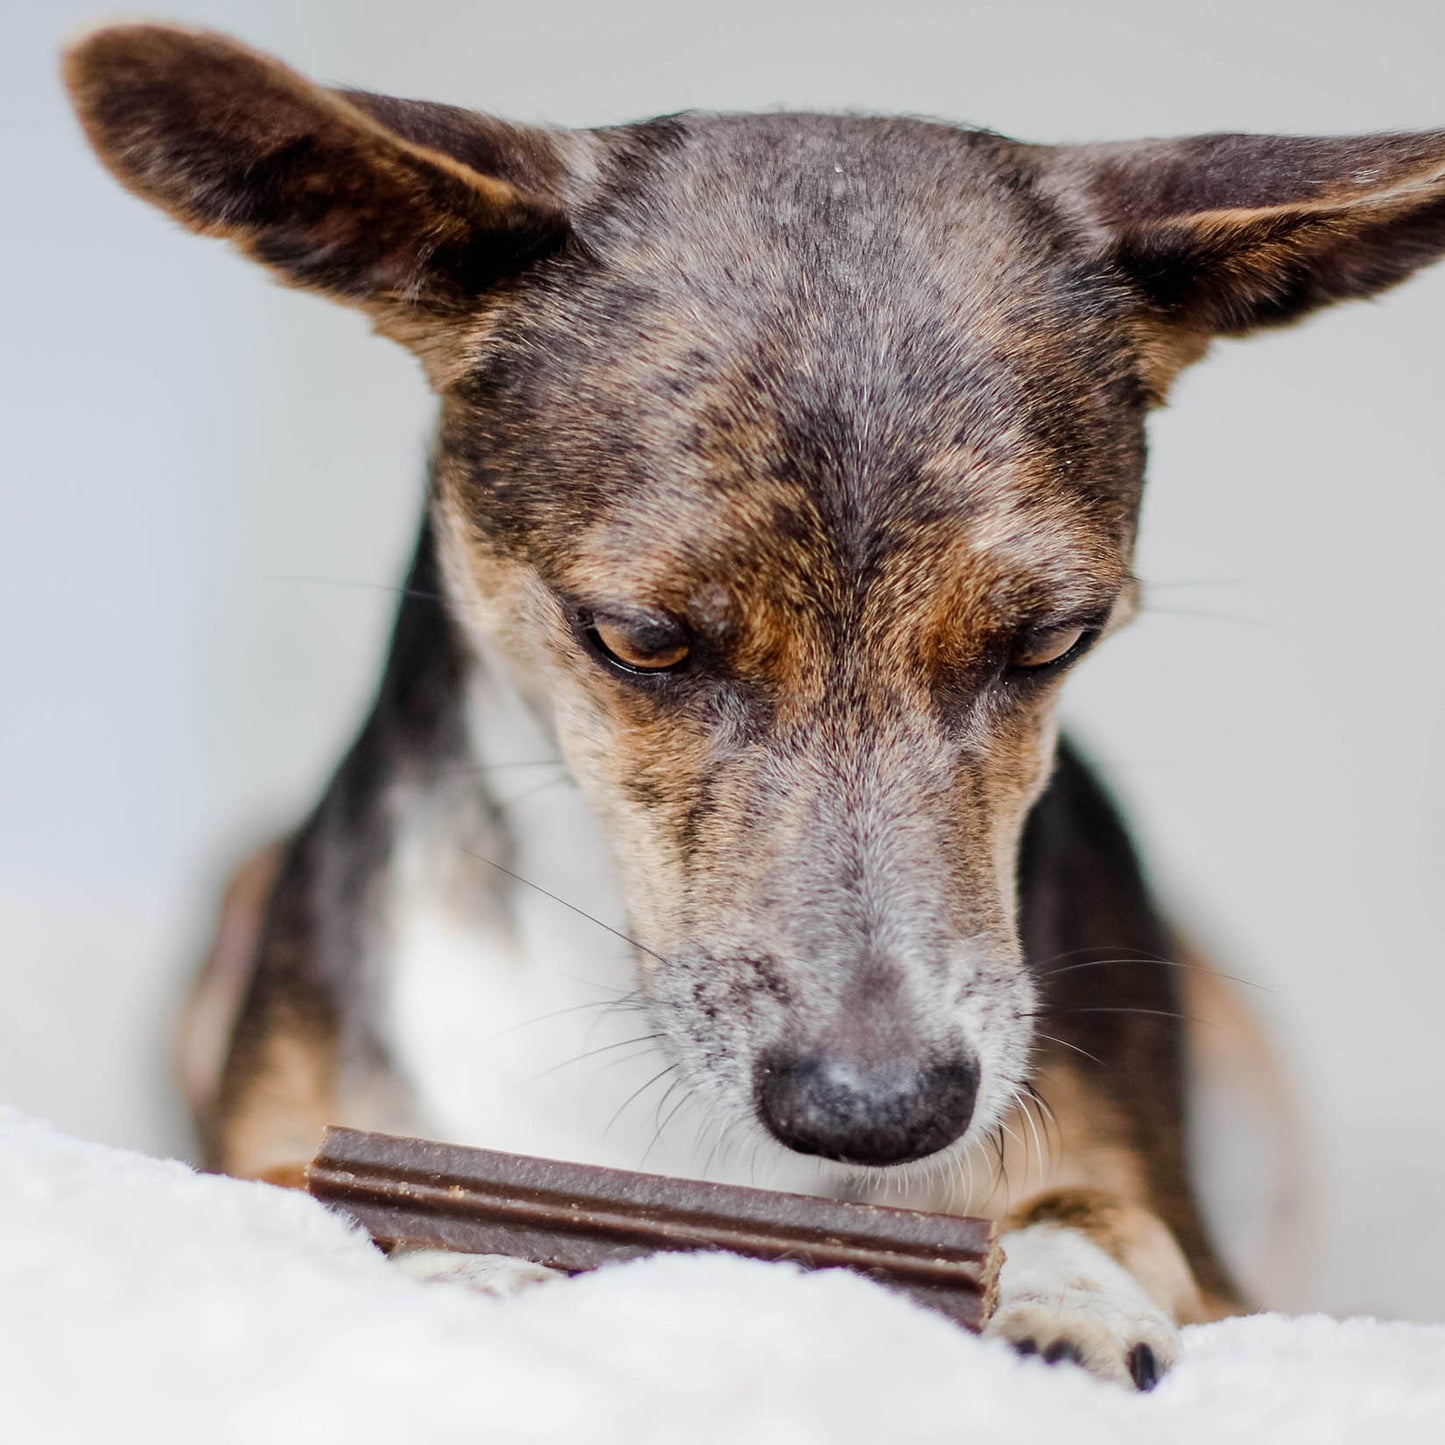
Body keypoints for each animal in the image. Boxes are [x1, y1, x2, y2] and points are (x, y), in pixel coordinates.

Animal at [62, 19, 1445, 1387]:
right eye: (637, 638)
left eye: (1054, 636)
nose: (877, 1114)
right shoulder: (251, 1157)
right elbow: (333, 1196)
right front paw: (462, 1254)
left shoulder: (1221, 1267)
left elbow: (1096, 1206)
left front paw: (1066, 1289)